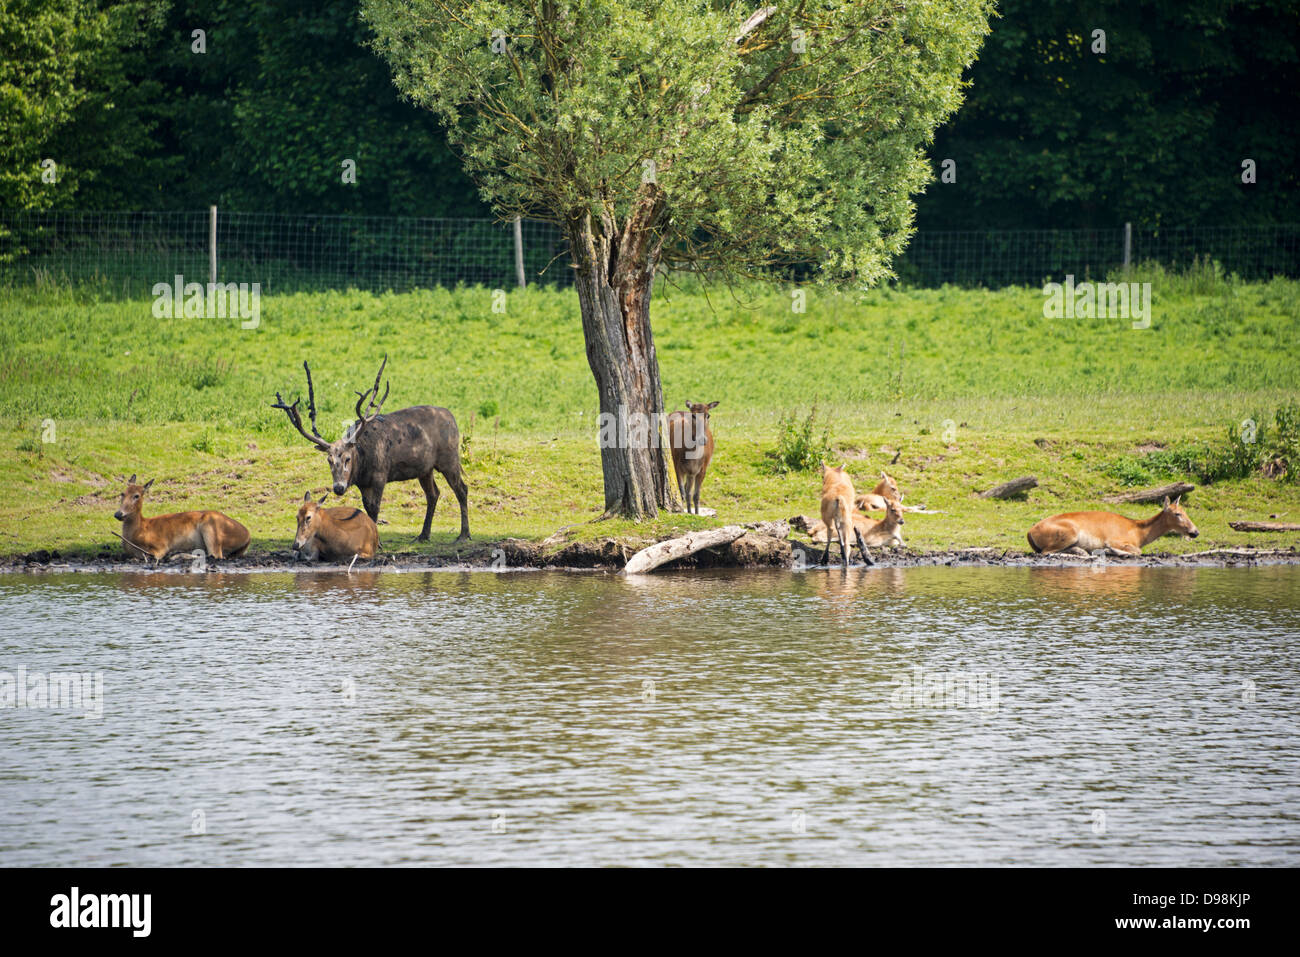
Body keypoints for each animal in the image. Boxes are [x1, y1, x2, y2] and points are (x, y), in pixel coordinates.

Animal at [115, 473, 252, 561]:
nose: (118, 514)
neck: (140, 529)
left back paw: (176, 554)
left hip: (212, 528)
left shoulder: (160, 546)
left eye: (136, 495)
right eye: (122, 493)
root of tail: (248, 536)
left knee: (214, 555)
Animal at [274, 356, 473, 540]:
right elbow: (367, 508)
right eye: (329, 460)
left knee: (462, 489)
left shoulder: (380, 474)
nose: (338, 488)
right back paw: (423, 535)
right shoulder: (363, 483)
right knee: (433, 494)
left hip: (449, 458)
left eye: (347, 458)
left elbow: (375, 508)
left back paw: (463, 534)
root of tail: (453, 418)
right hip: (425, 469)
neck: (361, 464)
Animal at [1024, 496, 1196, 556]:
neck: (1139, 533)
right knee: (1046, 552)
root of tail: (1029, 532)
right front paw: (1110, 550)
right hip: (1070, 532)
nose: (1195, 532)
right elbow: (1137, 551)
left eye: (1185, 512)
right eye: (1177, 514)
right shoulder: (1114, 539)